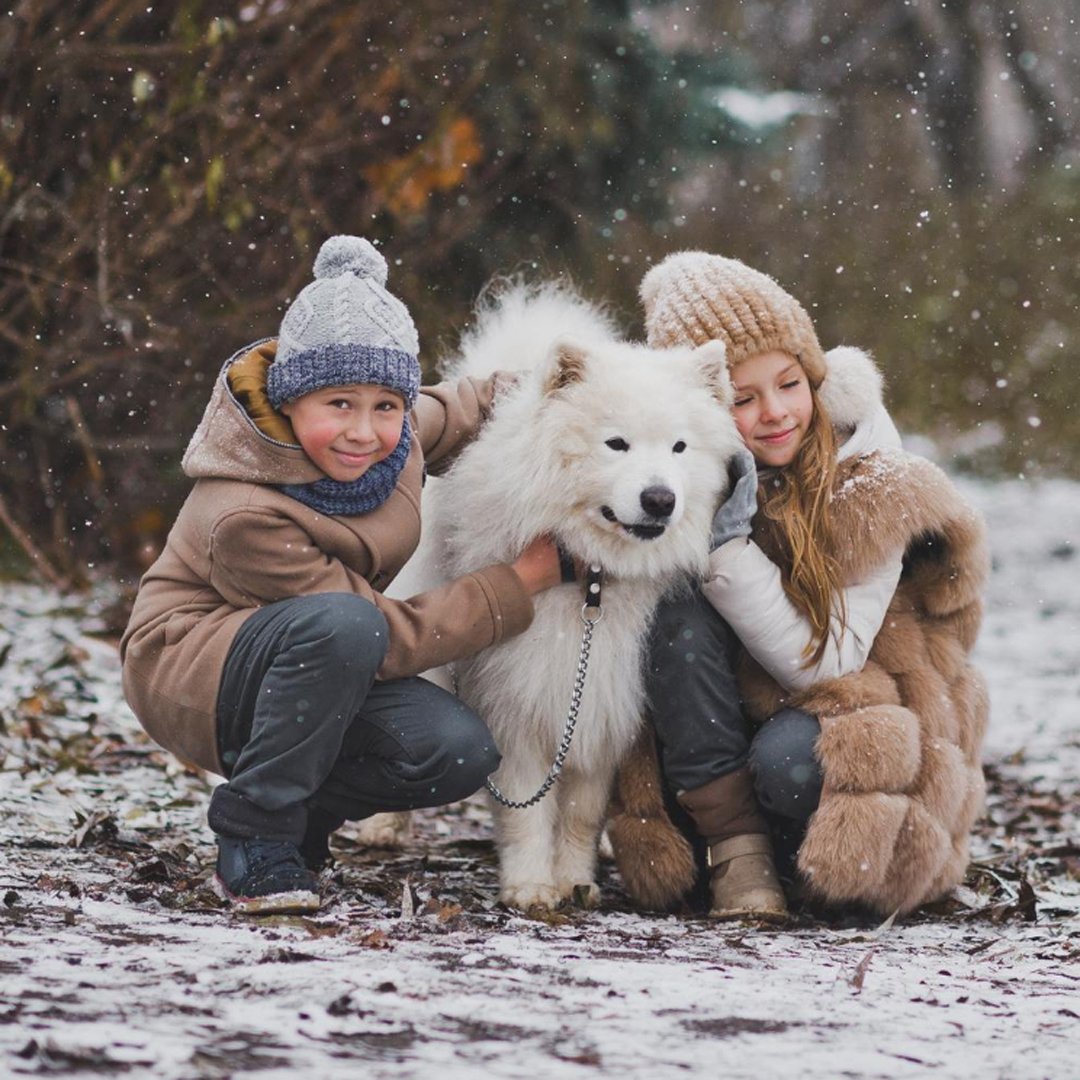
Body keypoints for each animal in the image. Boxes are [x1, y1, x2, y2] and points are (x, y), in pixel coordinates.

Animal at [397, 280, 743, 911]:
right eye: (616, 444)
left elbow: (581, 811)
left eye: (679, 448)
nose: (660, 499)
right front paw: (531, 886)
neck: (591, 583)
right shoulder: (519, 694)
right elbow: (527, 809)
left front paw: (575, 880)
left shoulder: (603, 699)